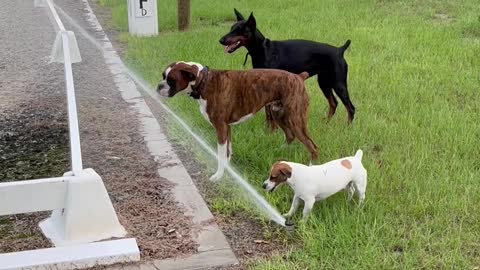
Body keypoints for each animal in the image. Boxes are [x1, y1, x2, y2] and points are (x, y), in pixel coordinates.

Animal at [219, 9, 354, 123]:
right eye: (231, 28)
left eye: (239, 30)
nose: (220, 40)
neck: (263, 49)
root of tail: (339, 50)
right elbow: (268, 113)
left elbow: (270, 114)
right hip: (324, 82)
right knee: (333, 104)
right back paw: (326, 123)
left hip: (338, 83)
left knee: (350, 108)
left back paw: (347, 128)